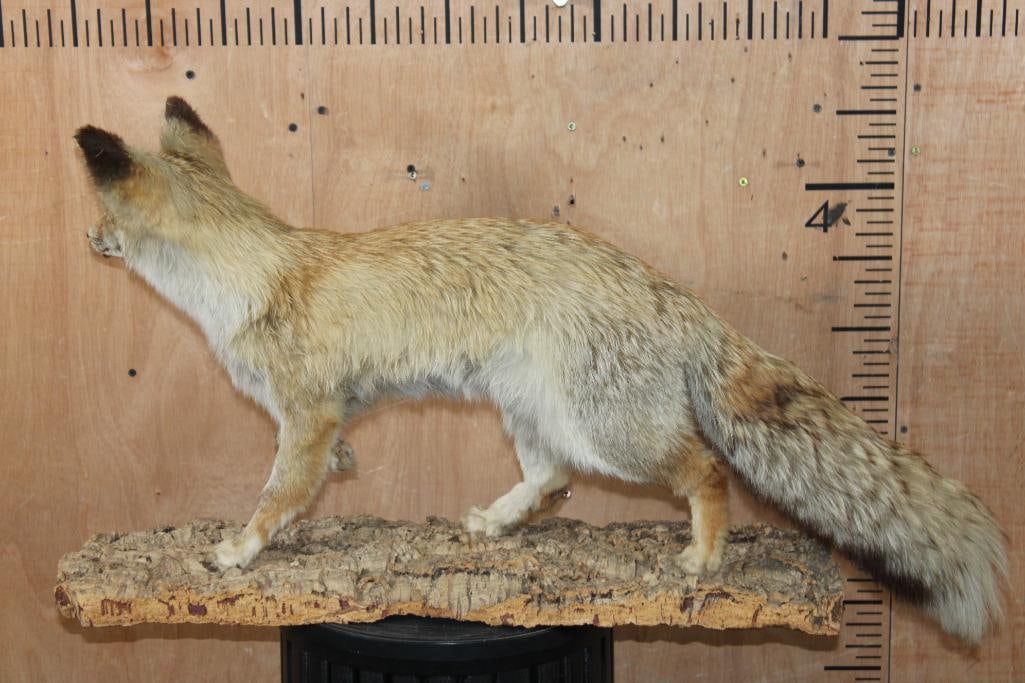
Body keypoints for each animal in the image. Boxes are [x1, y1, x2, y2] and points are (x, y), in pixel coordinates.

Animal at [74, 97, 1006, 644]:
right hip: (532, 413)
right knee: (552, 482)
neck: (253, 274)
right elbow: (317, 477)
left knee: (704, 468)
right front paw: (316, 502)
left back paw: (703, 557)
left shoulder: (301, 413)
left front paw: (239, 549)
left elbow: (275, 495)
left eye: (102, 216)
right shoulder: (324, 416)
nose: (86, 240)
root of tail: (667, 289)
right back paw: (497, 523)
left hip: (609, 433)